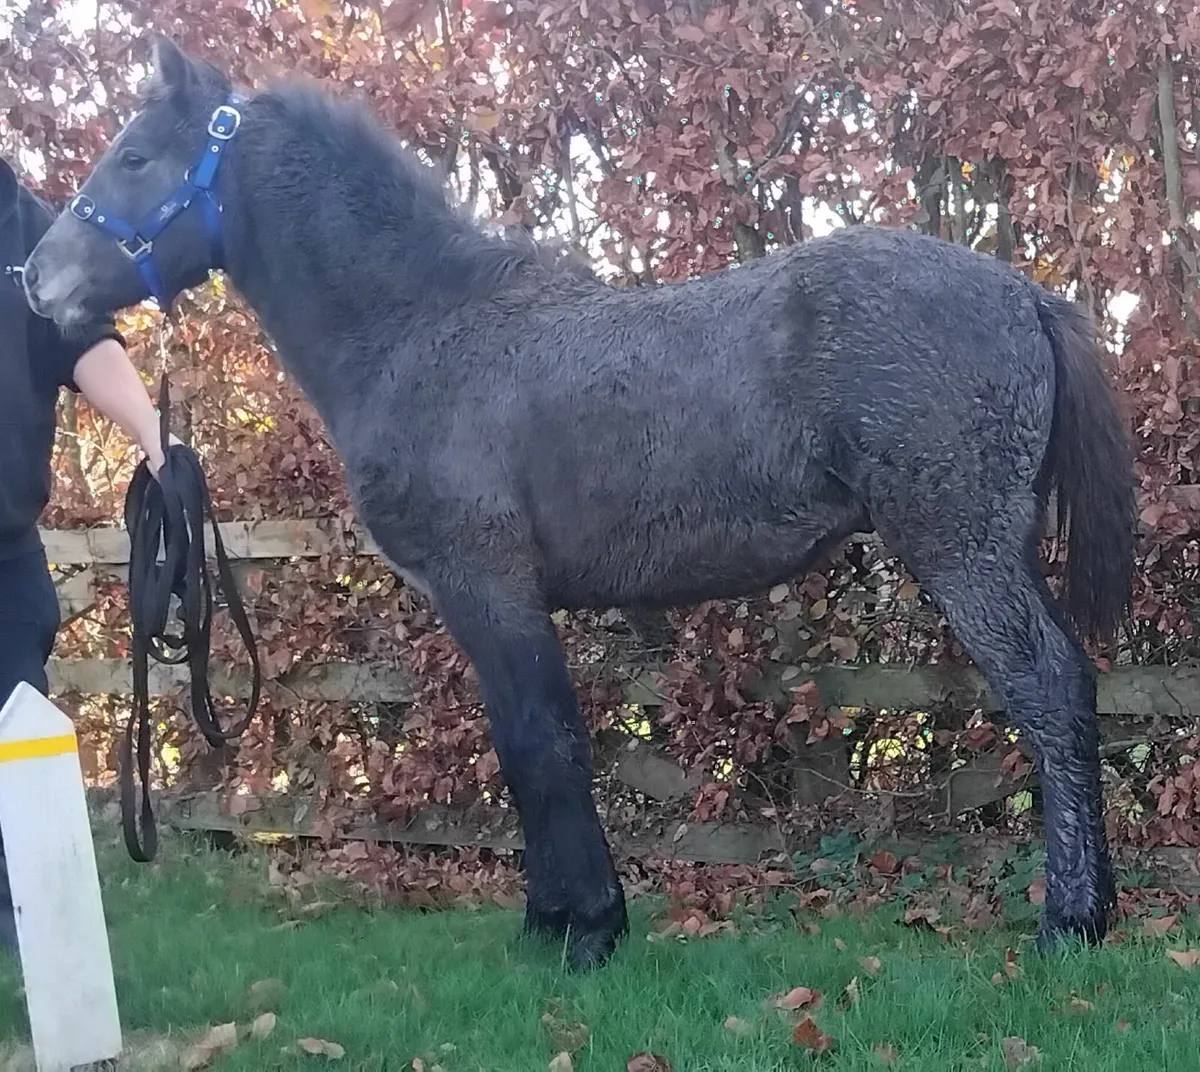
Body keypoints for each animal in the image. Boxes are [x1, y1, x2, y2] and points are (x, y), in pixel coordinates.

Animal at [24, 36, 1136, 970]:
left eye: (134, 156)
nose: (36, 280)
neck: (421, 327)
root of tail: (1024, 293)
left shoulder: (491, 588)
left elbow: (542, 746)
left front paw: (585, 929)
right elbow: (531, 751)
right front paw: (556, 918)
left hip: (961, 548)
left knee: (1049, 687)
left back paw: (1072, 922)